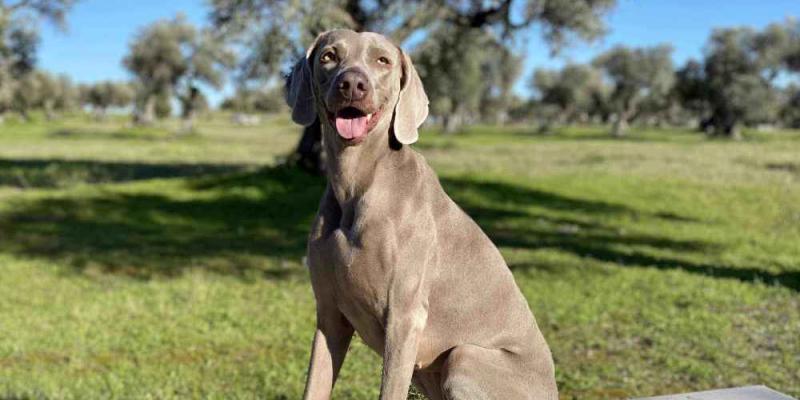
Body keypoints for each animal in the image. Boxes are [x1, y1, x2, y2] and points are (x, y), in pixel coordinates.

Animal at [286, 29, 556, 398]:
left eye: (382, 60)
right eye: (329, 56)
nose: (352, 84)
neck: (355, 183)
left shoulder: (404, 317)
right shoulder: (329, 315)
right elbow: (315, 384)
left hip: (464, 356)